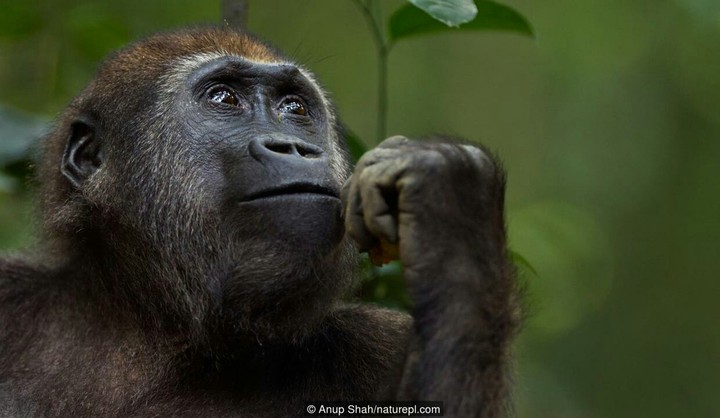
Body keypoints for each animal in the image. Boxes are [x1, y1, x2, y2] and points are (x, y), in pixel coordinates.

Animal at [0, 27, 520, 417]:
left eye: (295, 108)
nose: (293, 147)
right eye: (223, 98)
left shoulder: (384, 342)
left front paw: (453, 207)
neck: (149, 318)